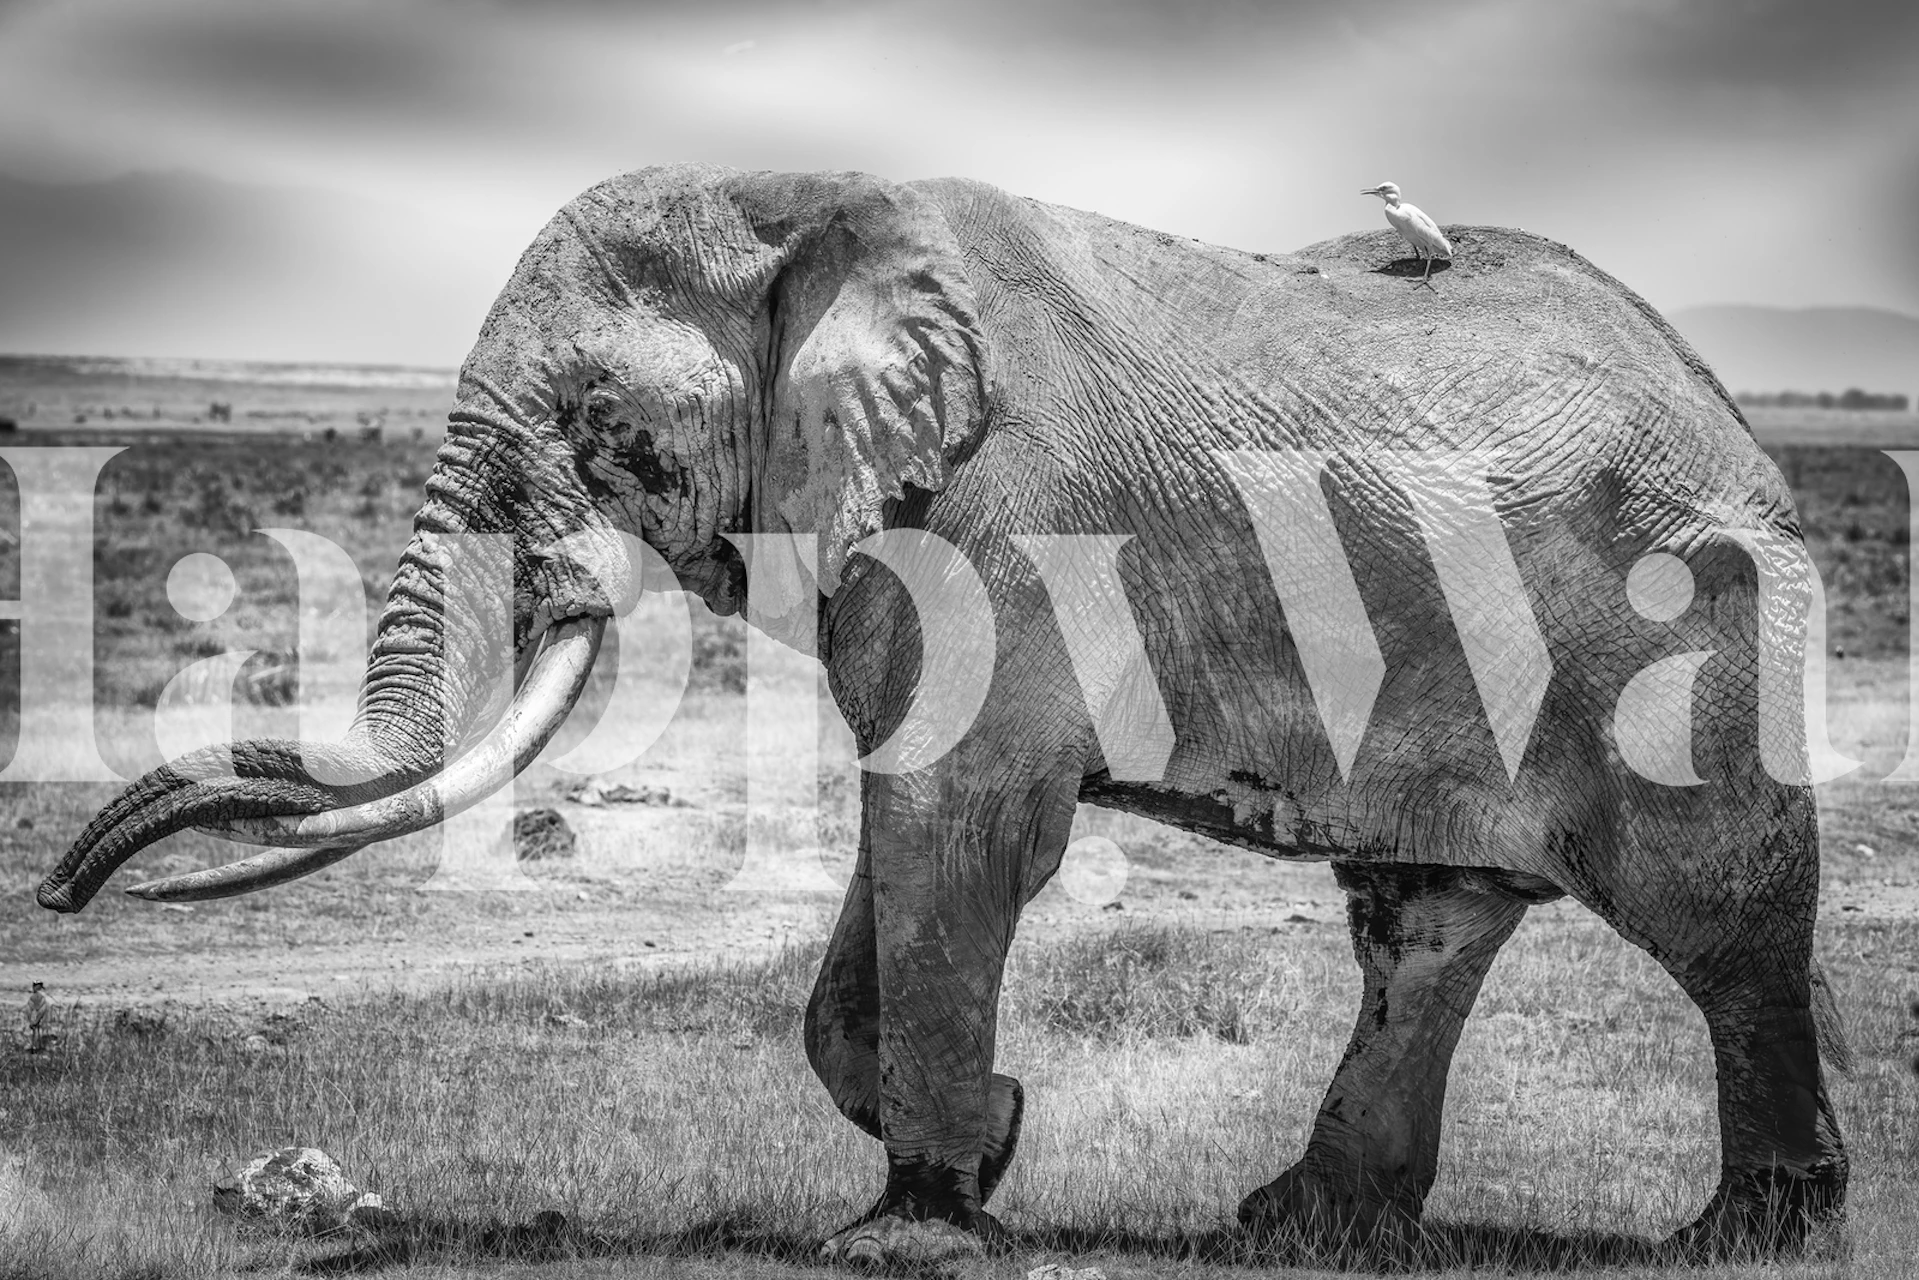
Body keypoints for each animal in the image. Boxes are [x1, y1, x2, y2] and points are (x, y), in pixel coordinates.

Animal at [40, 165, 1848, 1263]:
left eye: (598, 422)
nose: (61, 886)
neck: (791, 205)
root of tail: (1718, 408)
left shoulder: (1005, 519)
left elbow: (959, 824)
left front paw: (911, 1230)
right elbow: (906, 840)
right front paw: (991, 1148)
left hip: (1686, 628)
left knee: (1714, 913)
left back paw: (1748, 1235)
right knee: (1423, 920)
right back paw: (1297, 1228)